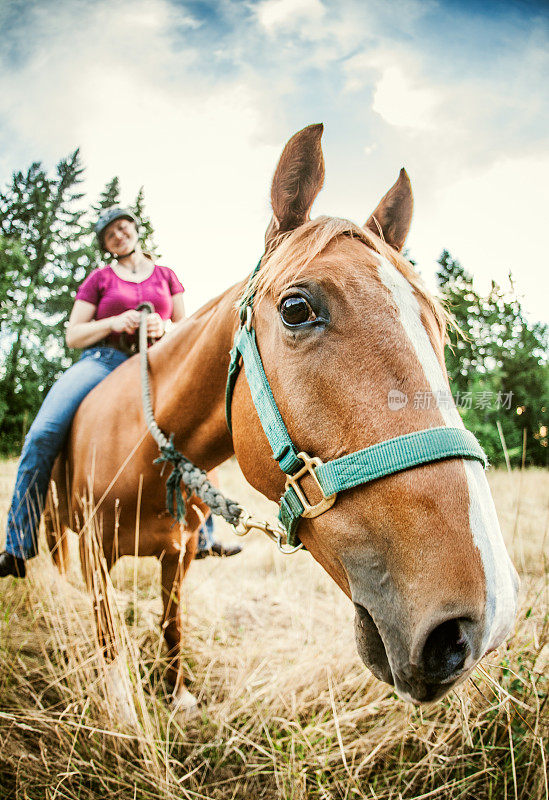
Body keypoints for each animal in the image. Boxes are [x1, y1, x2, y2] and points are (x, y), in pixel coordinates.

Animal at [44, 123, 520, 712]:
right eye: (296, 309)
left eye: (439, 325)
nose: (484, 618)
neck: (148, 453)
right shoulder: (95, 557)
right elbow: (109, 636)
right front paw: (123, 709)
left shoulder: (178, 556)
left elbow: (172, 625)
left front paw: (177, 696)